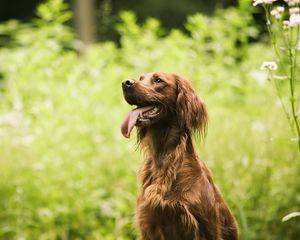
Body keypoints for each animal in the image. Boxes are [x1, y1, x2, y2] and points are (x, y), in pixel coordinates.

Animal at [120, 71, 238, 240]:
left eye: (158, 80)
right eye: (141, 78)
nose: (126, 83)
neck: (163, 159)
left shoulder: (205, 227)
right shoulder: (148, 224)